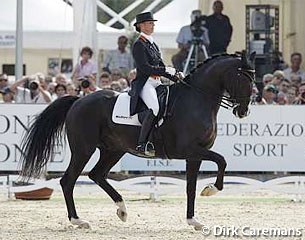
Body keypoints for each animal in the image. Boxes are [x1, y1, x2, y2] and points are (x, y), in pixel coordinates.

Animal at [20, 52, 254, 231]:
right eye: (244, 78)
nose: (243, 112)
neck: (197, 99)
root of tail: (79, 100)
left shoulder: (194, 155)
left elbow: (191, 187)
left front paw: (194, 221)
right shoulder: (190, 150)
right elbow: (222, 161)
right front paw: (211, 189)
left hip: (113, 150)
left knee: (97, 175)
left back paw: (122, 210)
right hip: (83, 150)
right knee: (68, 180)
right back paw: (79, 221)